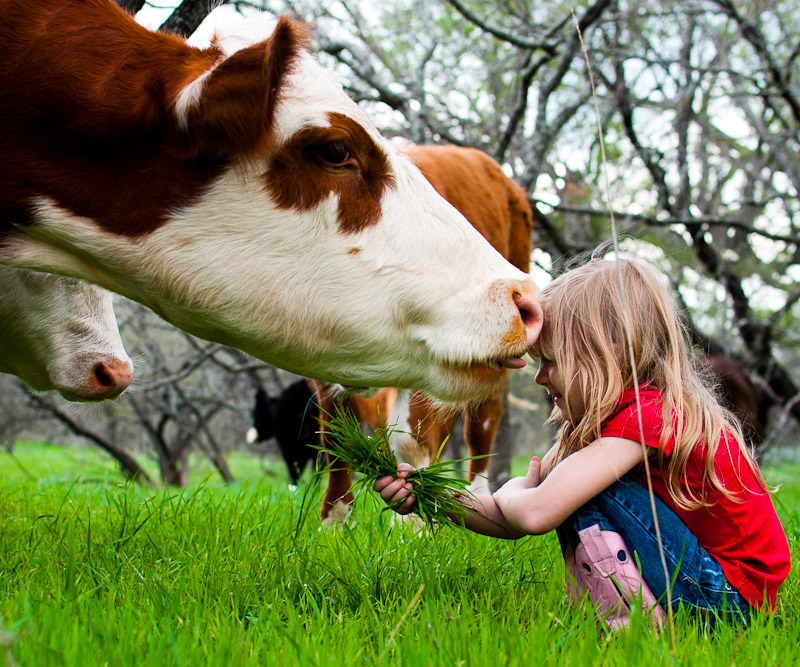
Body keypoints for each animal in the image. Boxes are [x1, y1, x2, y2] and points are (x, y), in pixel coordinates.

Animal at [316, 145, 536, 520]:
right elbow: (335, 437)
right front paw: (334, 521)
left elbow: (408, 438)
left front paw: (412, 520)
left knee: (483, 423)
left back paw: (477, 498)